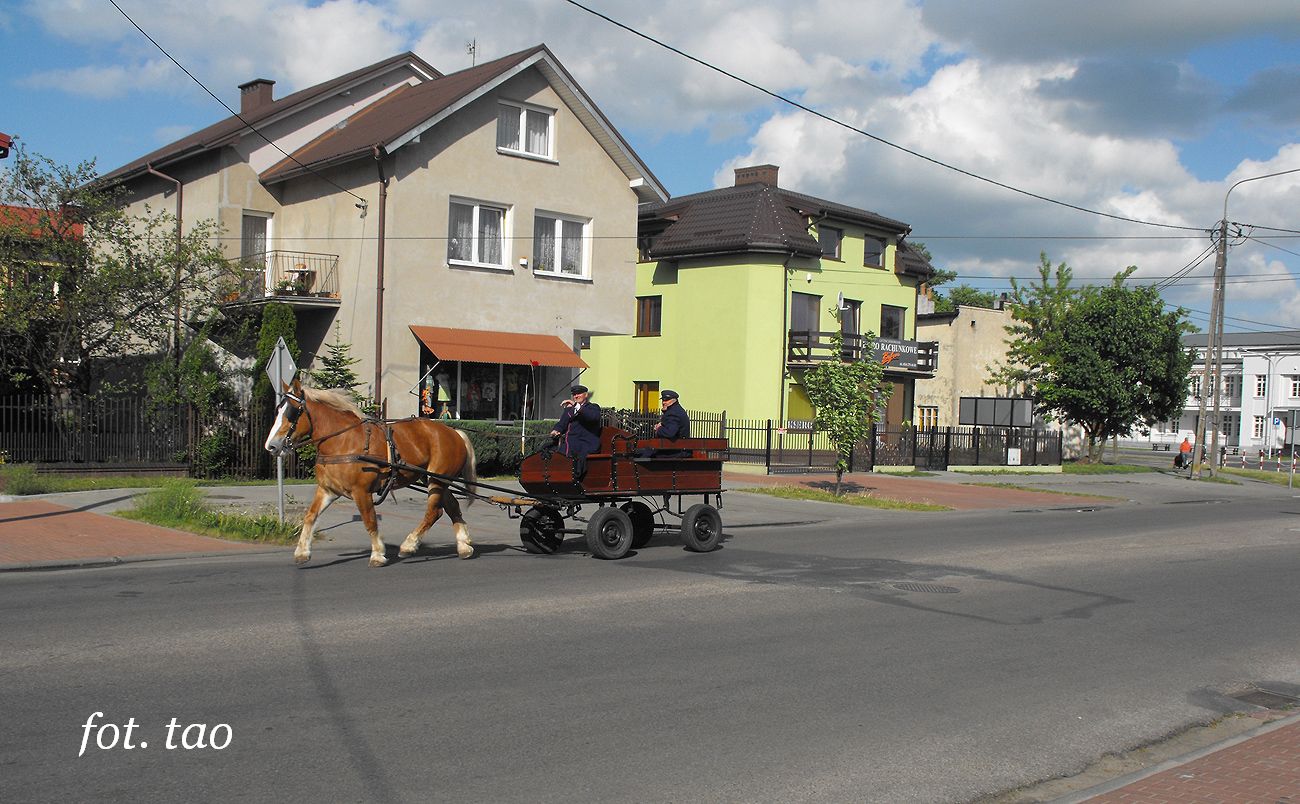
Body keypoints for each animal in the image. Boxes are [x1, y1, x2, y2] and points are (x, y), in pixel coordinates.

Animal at [263, 379, 478, 567]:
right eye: (278, 410)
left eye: (292, 412)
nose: (271, 446)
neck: (343, 441)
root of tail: (454, 433)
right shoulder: (327, 490)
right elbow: (310, 516)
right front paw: (302, 552)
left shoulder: (361, 491)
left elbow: (370, 521)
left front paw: (377, 554)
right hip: (436, 480)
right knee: (451, 507)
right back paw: (463, 545)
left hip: (437, 480)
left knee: (434, 512)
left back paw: (409, 545)